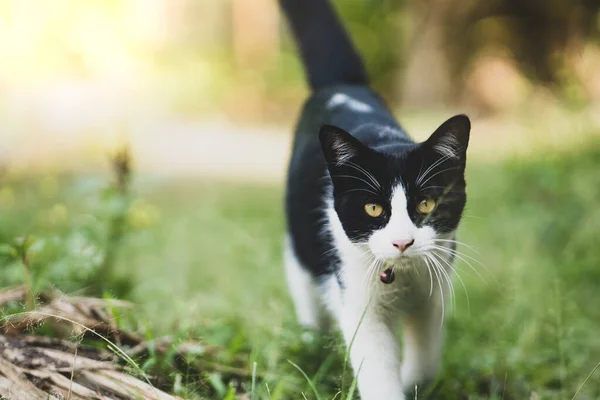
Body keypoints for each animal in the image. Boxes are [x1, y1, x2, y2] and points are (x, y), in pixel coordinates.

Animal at [278, 1, 472, 398]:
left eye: (426, 204)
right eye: (373, 208)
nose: (402, 242)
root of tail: (343, 86)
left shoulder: (434, 288)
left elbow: (426, 357)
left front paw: (414, 383)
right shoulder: (357, 296)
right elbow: (377, 366)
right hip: (302, 247)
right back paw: (311, 347)